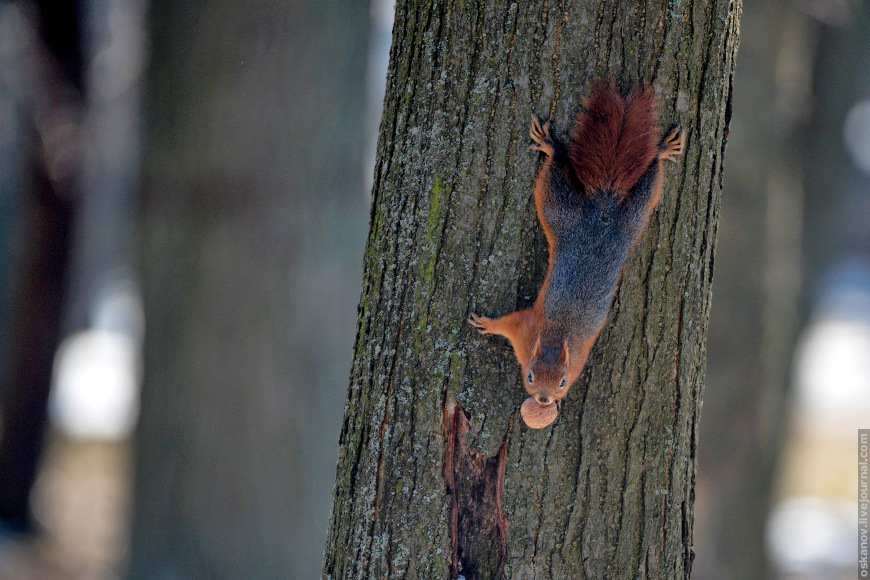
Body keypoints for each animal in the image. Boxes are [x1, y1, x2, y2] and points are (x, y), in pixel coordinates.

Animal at [470, 81, 680, 426]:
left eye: (563, 382)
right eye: (530, 376)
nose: (544, 399)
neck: (556, 337)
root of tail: (603, 211)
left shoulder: (576, 358)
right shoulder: (524, 329)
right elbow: (508, 323)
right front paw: (487, 324)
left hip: (631, 220)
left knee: (649, 180)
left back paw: (662, 149)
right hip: (570, 211)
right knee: (561, 174)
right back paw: (553, 146)